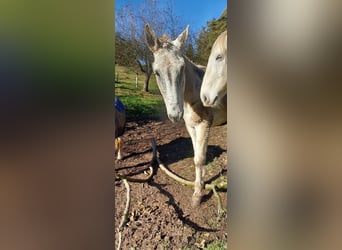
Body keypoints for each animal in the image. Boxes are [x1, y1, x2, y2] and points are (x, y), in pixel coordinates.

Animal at [144, 24, 227, 206]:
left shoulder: (204, 125)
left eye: (182, 68)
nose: (175, 114)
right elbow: (196, 156)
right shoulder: (191, 126)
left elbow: (200, 158)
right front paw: (199, 184)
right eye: (156, 72)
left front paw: (197, 195)